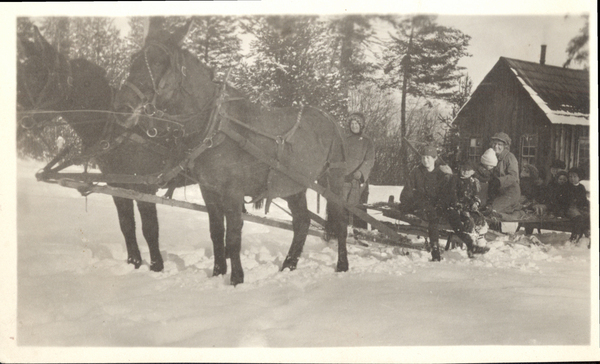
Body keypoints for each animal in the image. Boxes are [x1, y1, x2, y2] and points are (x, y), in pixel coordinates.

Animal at [17, 27, 190, 272]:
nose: (17, 115)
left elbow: (150, 229)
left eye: (35, 75)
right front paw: (134, 263)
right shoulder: (117, 184)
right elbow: (126, 225)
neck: (116, 128)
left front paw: (156, 267)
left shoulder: (144, 187)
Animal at [113, 19, 350, 286]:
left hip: (333, 178)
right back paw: (288, 265)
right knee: (302, 222)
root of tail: (330, 118)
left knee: (341, 221)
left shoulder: (233, 193)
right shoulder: (209, 191)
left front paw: (236, 279)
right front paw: (217, 273)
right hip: (293, 183)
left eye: (158, 62)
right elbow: (217, 233)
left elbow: (233, 237)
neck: (216, 127)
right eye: (133, 59)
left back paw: (342, 265)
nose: (122, 108)